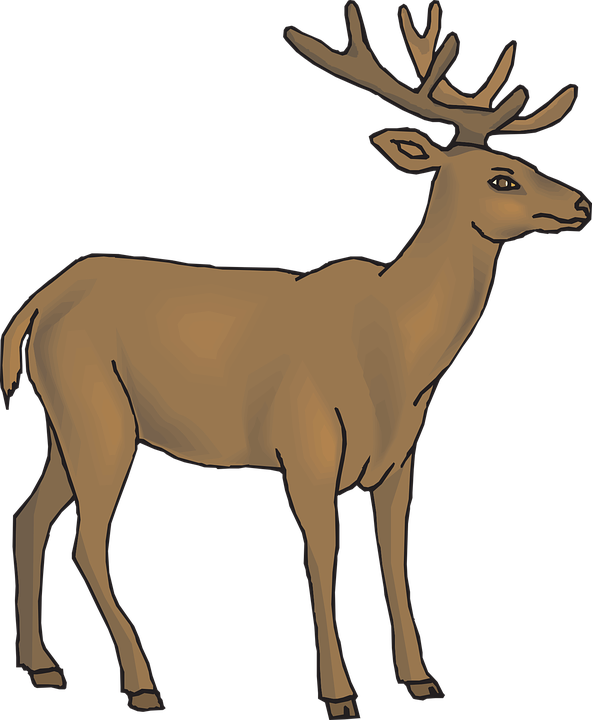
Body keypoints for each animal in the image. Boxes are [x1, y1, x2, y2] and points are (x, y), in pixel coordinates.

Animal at [5, 0, 589, 716]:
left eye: (521, 161)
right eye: (500, 177)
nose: (581, 204)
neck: (399, 362)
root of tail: (37, 304)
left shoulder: (400, 459)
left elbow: (395, 556)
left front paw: (421, 679)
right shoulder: (307, 444)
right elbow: (321, 558)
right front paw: (339, 695)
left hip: (67, 420)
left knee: (30, 515)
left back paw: (42, 666)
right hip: (97, 411)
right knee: (88, 540)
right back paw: (142, 683)